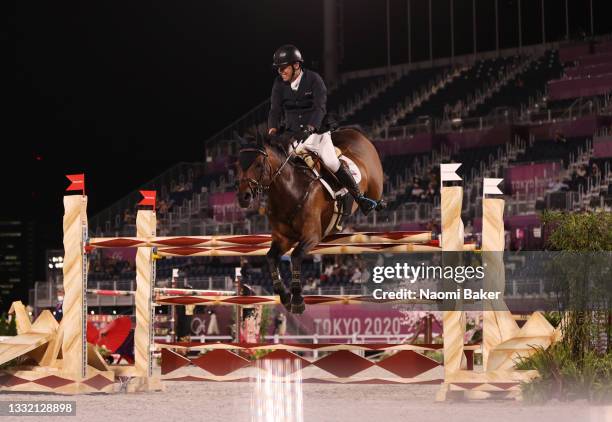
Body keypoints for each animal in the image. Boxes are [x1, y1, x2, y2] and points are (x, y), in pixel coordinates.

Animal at [235, 129, 382, 314]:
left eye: (258, 165)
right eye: (238, 165)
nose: (243, 197)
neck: (291, 191)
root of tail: (354, 132)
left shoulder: (312, 236)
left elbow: (296, 256)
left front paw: (297, 299)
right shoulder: (283, 239)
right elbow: (270, 258)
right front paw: (284, 296)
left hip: (375, 186)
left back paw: (371, 204)